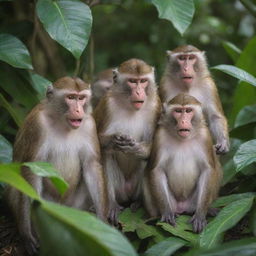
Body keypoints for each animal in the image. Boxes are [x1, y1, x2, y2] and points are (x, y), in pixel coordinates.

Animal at [6, 76, 107, 256]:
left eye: (81, 98)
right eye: (71, 97)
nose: (78, 110)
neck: (62, 121)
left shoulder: (89, 123)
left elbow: (91, 166)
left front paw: (102, 222)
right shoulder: (37, 125)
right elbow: (31, 169)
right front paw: (26, 232)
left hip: (72, 207)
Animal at [94, 58, 161, 226]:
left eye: (143, 81)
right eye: (132, 81)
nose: (139, 92)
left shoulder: (156, 105)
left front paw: (136, 148)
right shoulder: (107, 104)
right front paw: (114, 139)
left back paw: (139, 203)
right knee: (107, 155)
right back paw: (112, 205)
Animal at [143, 93, 221, 233]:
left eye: (188, 111)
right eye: (178, 111)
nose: (183, 121)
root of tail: (182, 207)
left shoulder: (205, 136)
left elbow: (208, 170)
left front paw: (200, 215)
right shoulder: (160, 135)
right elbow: (157, 170)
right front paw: (167, 213)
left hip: (192, 202)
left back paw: (208, 210)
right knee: (147, 175)